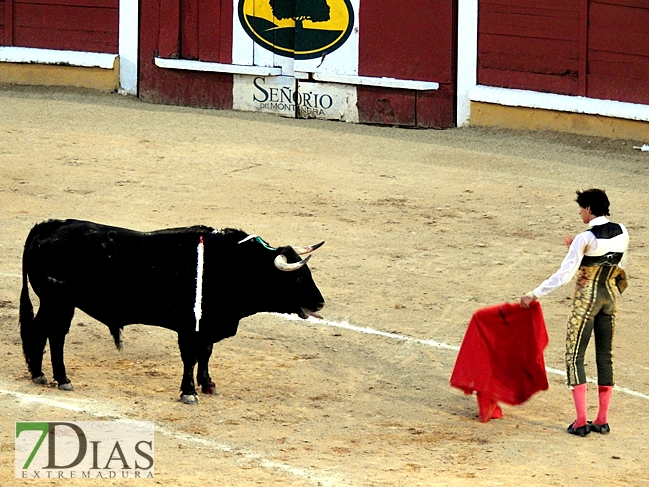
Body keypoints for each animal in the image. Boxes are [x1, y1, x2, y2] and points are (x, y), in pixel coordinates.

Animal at [19, 220, 324, 404]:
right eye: (297, 278)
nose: (320, 303)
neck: (230, 265)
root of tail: (50, 226)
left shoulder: (207, 325)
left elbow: (206, 353)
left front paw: (207, 384)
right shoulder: (189, 326)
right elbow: (191, 357)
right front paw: (189, 392)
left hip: (61, 303)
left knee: (53, 334)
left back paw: (51, 376)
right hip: (55, 300)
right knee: (45, 332)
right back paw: (52, 377)